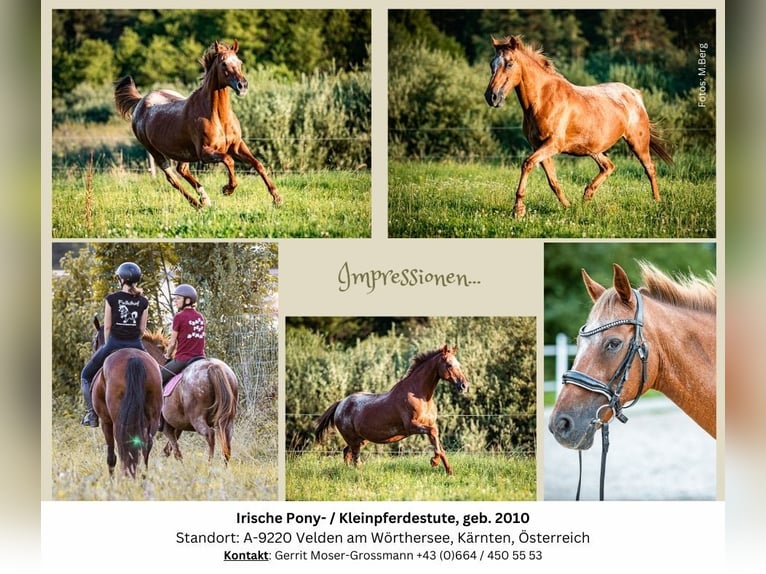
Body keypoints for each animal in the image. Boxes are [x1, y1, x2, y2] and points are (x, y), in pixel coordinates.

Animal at [112, 41, 284, 212]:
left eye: (240, 62)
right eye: (223, 63)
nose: (242, 86)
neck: (218, 117)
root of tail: (140, 102)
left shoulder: (237, 146)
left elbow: (258, 164)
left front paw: (277, 198)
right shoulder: (205, 153)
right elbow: (229, 160)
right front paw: (227, 189)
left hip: (184, 153)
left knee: (182, 170)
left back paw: (205, 199)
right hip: (157, 153)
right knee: (172, 178)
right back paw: (198, 204)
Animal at [316, 346, 472, 476]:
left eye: (458, 364)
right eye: (449, 364)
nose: (464, 386)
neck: (420, 395)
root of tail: (340, 404)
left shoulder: (429, 425)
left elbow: (439, 444)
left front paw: (449, 472)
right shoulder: (412, 426)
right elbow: (434, 435)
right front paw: (434, 462)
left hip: (361, 439)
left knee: (347, 453)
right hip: (354, 440)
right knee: (355, 458)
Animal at [486, 36, 672, 218]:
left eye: (509, 64)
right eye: (491, 64)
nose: (491, 97)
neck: (543, 100)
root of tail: (635, 94)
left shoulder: (553, 144)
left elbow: (527, 163)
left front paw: (518, 210)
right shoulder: (538, 146)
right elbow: (553, 181)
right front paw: (568, 206)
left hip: (637, 142)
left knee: (649, 168)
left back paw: (657, 201)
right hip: (594, 150)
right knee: (608, 166)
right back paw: (586, 198)